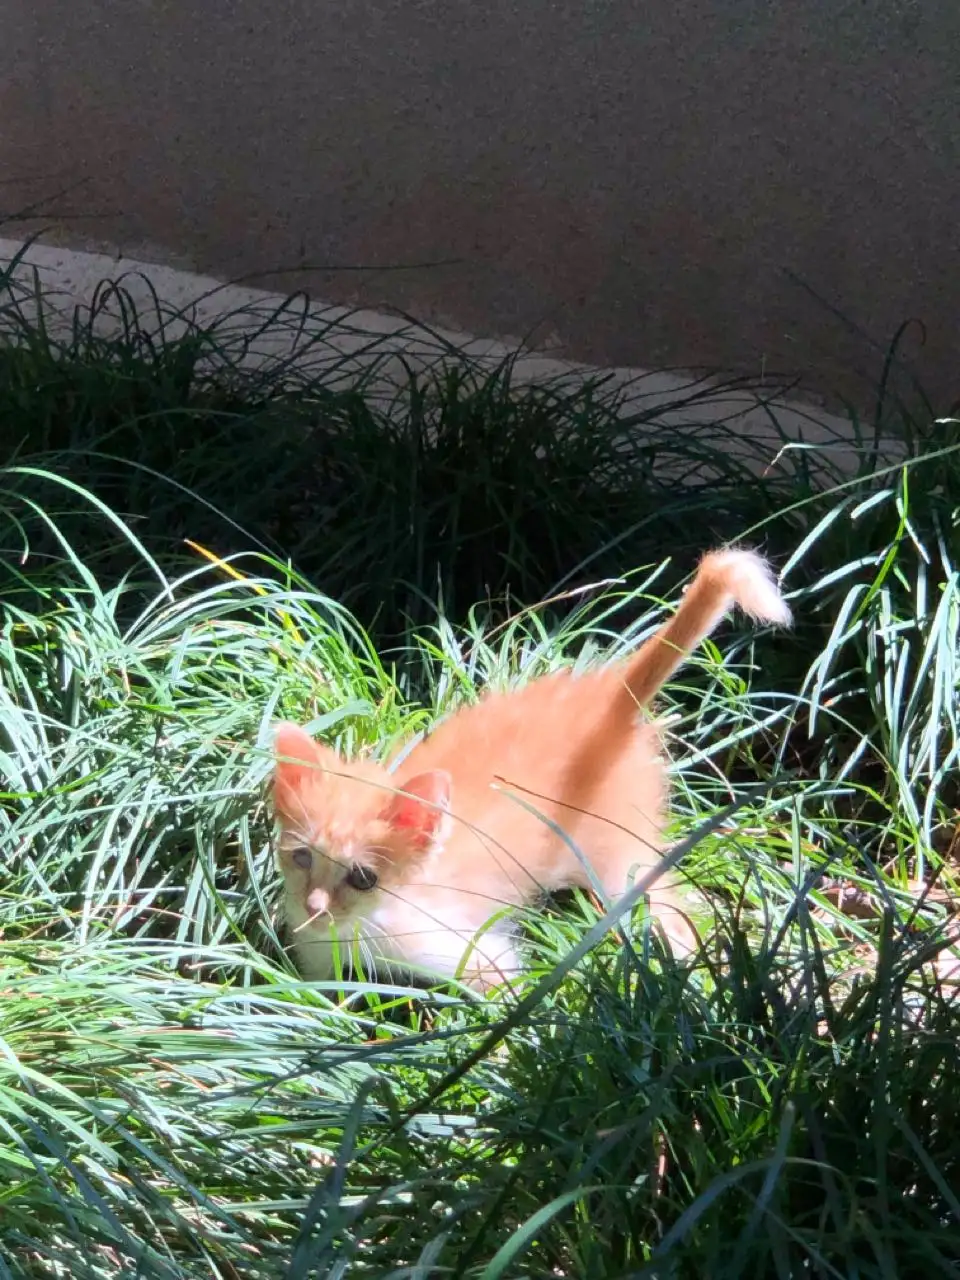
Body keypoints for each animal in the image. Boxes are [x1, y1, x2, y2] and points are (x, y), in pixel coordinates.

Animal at [271, 547, 788, 988]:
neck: (362, 927)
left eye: (364, 878)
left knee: (670, 907)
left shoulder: (479, 955)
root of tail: (611, 697)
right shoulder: (314, 959)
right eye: (302, 857)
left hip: (619, 860)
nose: (314, 906)